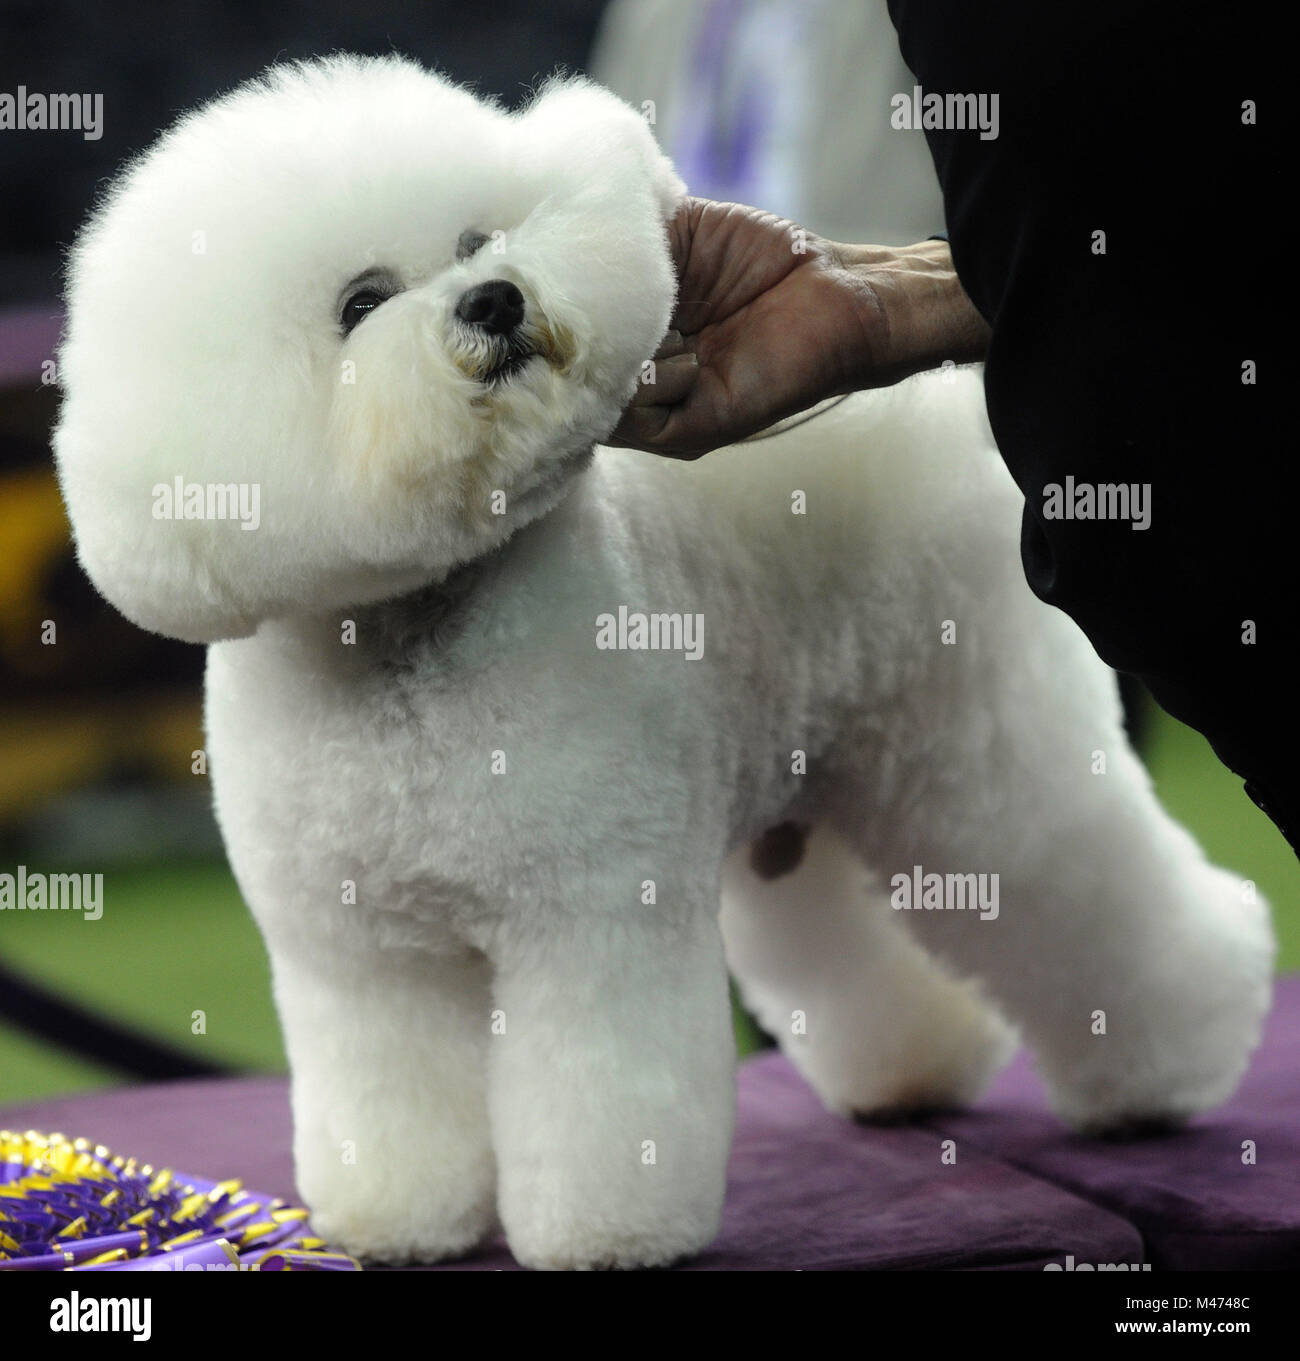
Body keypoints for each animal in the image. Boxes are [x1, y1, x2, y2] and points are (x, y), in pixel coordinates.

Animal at [53, 53, 1268, 1263]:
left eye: (477, 239)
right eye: (359, 303)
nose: (495, 300)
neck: (415, 642)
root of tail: (933, 410)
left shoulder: (590, 911)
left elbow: (599, 1090)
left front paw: (609, 1232)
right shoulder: (362, 954)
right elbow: (394, 1090)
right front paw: (399, 1220)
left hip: (971, 753)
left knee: (1088, 889)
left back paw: (1172, 1067)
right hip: (808, 793)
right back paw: (917, 1069)